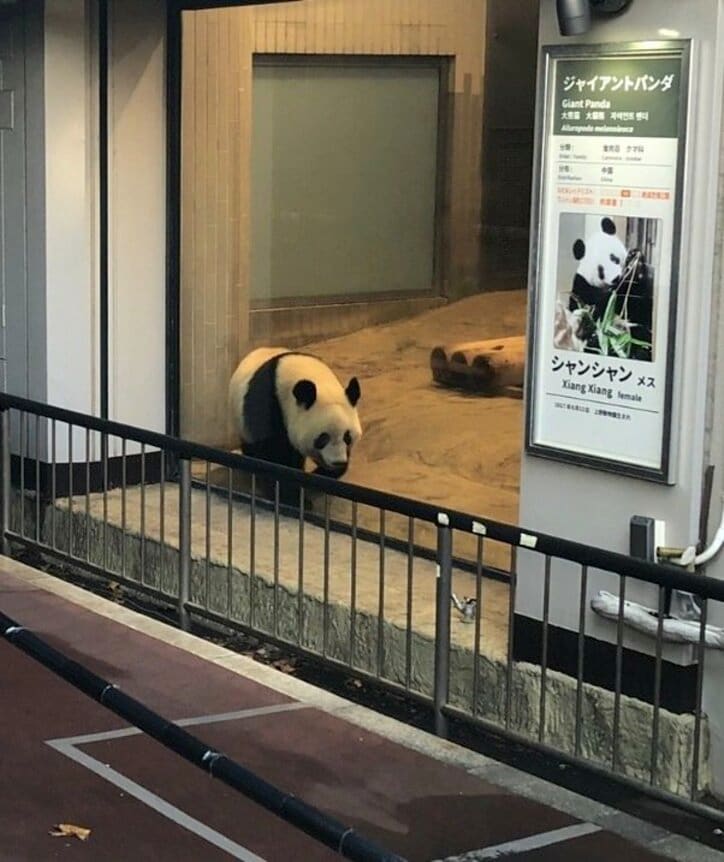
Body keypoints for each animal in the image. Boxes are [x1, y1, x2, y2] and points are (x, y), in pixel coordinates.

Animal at [229, 346, 362, 492]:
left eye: (347, 437)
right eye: (323, 438)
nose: (337, 462)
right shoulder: (269, 404)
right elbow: (276, 454)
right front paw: (290, 490)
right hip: (242, 424)